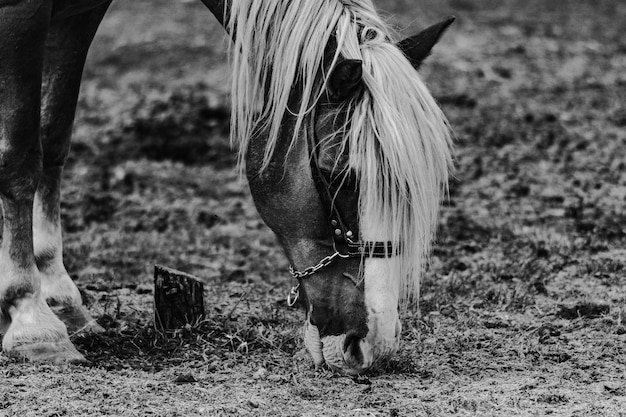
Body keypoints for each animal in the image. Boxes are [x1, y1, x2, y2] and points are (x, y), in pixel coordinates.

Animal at [0, 0, 450, 376]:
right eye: (338, 174)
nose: (375, 343)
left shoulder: (78, 15)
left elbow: (52, 139)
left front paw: (60, 298)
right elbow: (19, 156)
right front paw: (31, 319)